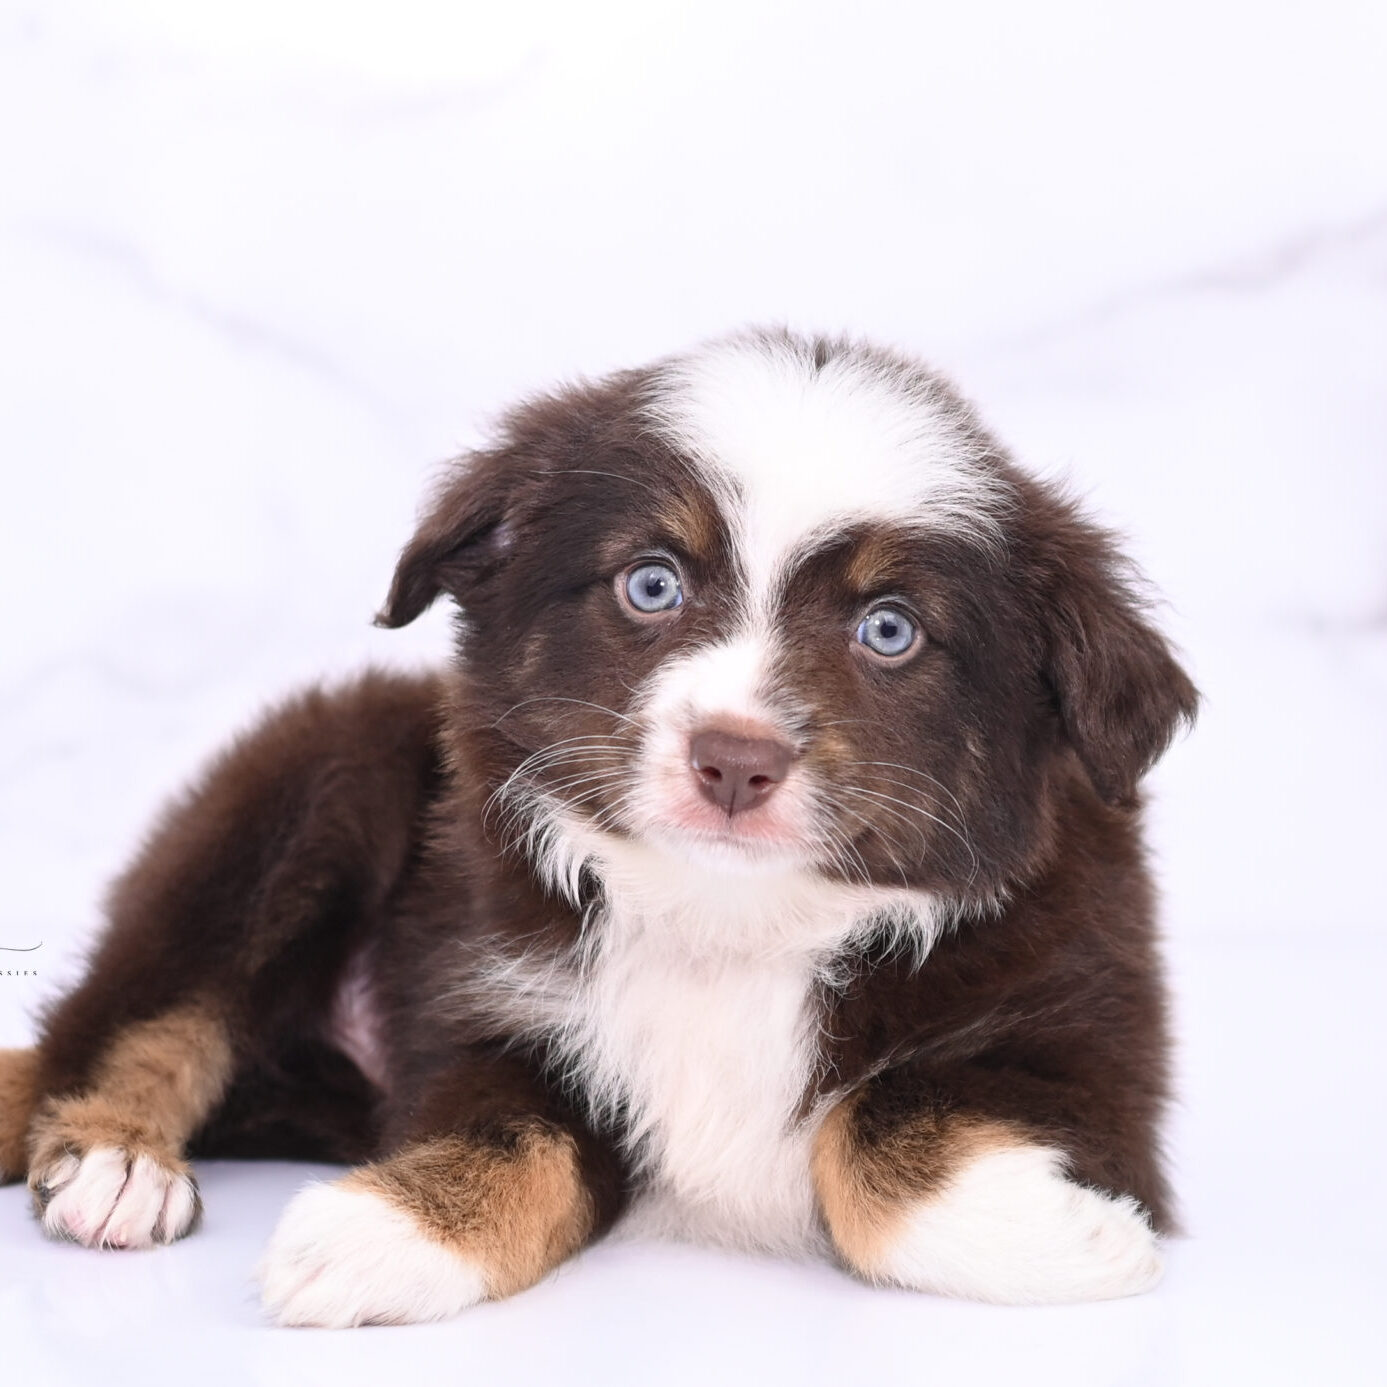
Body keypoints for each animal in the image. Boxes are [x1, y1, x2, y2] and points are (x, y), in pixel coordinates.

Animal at [0, 330, 1198, 1325]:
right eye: (651, 583)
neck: (732, 921)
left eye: (889, 629)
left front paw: (1071, 1230)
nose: (734, 759)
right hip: (319, 779)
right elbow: (515, 1137)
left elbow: (866, 1126)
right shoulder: (477, 1008)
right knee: (145, 1011)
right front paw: (379, 1232)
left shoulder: (1090, 1049)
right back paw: (117, 1161)